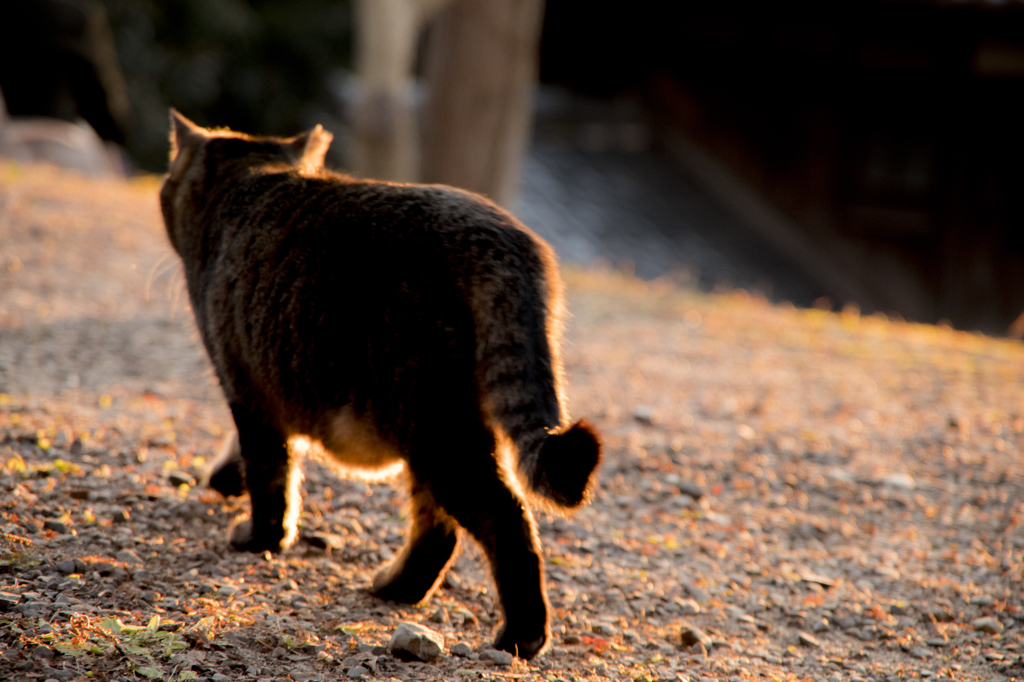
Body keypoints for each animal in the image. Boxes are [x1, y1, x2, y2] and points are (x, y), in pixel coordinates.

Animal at [160, 111, 602, 659]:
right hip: (433, 432)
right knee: (438, 531)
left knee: (504, 518)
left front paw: (261, 538)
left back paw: (520, 636)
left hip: (437, 431)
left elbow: (271, 479)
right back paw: (397, 588)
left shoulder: (246, 389)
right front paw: (227, 475)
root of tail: (497, 237)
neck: (247, 182)